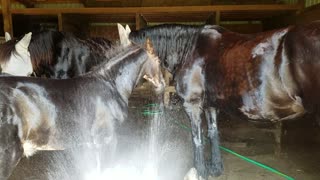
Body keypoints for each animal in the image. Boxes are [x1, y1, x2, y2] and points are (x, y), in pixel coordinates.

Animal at [123, 21, 320, 179]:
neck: (189, 49)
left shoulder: (193, 105)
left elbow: (197, 138)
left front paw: (200, 171)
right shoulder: (211, 106)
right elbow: (213, 134)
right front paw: (215, 169)